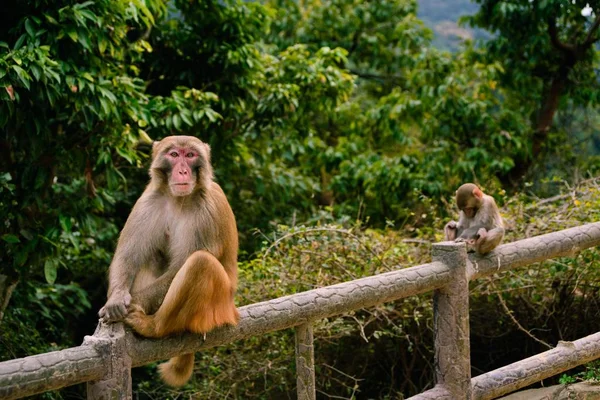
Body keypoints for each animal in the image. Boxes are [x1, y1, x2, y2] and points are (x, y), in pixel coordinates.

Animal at [98, 134, 239, 388]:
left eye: (190, 155)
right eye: (174, 155)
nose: (182, 171)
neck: (179, 200)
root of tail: (233, 310)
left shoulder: (207, 211)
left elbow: (180, 266)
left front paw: (130, 304)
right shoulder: (148, 200)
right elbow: (128, 255)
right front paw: (116, 299)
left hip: (219, 308)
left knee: (200, 263)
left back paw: (153, 327)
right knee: (151, 257)